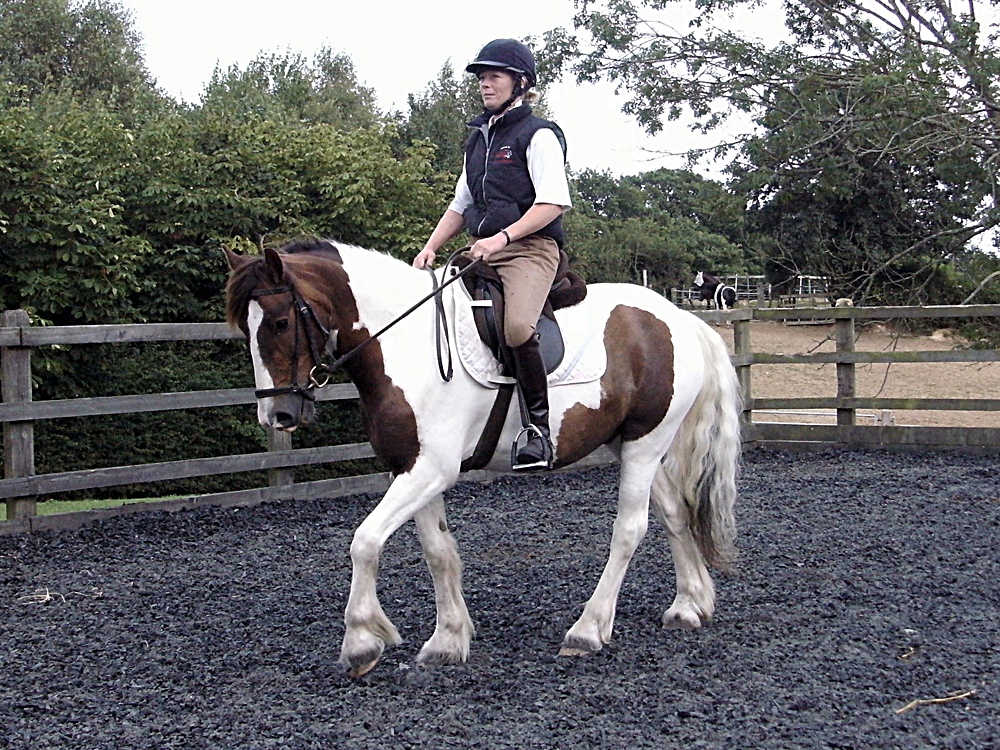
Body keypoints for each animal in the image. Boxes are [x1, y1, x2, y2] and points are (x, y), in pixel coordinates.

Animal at [224, 238, 742, 677]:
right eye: (245, 328)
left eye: (280, 323)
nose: (278, 414)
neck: (406, 345)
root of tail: (680, 319)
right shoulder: (410, 467)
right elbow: (437, 550)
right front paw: (448, 639)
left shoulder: (430, 470)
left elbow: (365, 541)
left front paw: (361, 640)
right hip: (633, 443)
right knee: (675, 513)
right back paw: (690, 605)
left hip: (644, 444)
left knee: (629, 530)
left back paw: (588, 629)